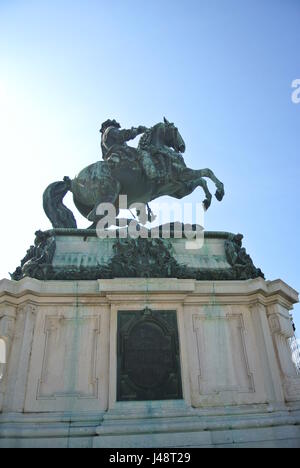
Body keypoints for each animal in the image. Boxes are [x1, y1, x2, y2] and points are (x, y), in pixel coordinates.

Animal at [42, 118, 225, 229]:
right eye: (175, 129)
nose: (182, 147)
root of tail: (72, 182)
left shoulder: (179, 189)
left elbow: (202, 180)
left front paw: (208, 199)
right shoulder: (181, 175)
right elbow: (207, 172)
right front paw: (219, 191)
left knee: (98, 221)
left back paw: (133, 224)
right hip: (110, 192)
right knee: (94, 217)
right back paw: (132, 224)